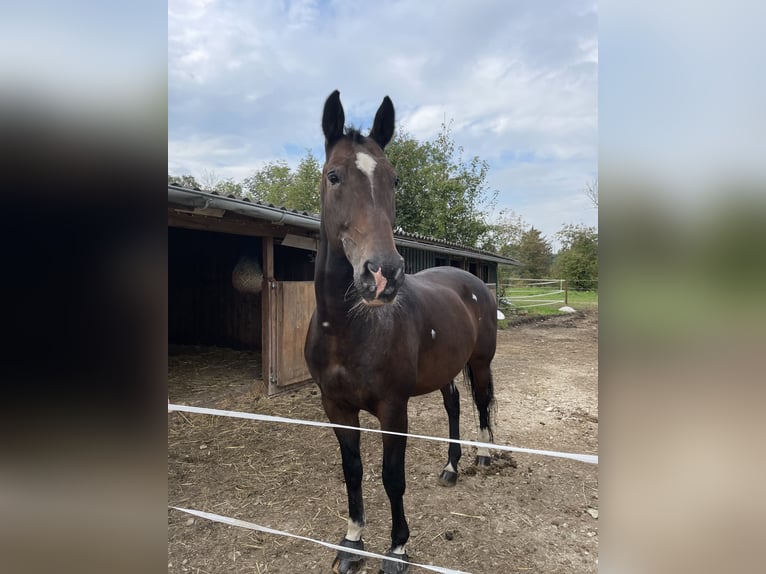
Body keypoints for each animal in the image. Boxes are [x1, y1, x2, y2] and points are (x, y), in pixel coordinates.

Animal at [306, 91, 498, 574]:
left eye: (393, 180)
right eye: (333, 175)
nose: (383, 275)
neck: (348, 330)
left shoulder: (394, 410)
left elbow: (392, 477)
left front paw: (397, 549)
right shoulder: (336, 407)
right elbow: (352, 470)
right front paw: (352, 543)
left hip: (480, 363)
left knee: (481, 404)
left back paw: (485, 454)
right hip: (447, 369)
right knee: (453, 405)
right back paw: (451, 467)